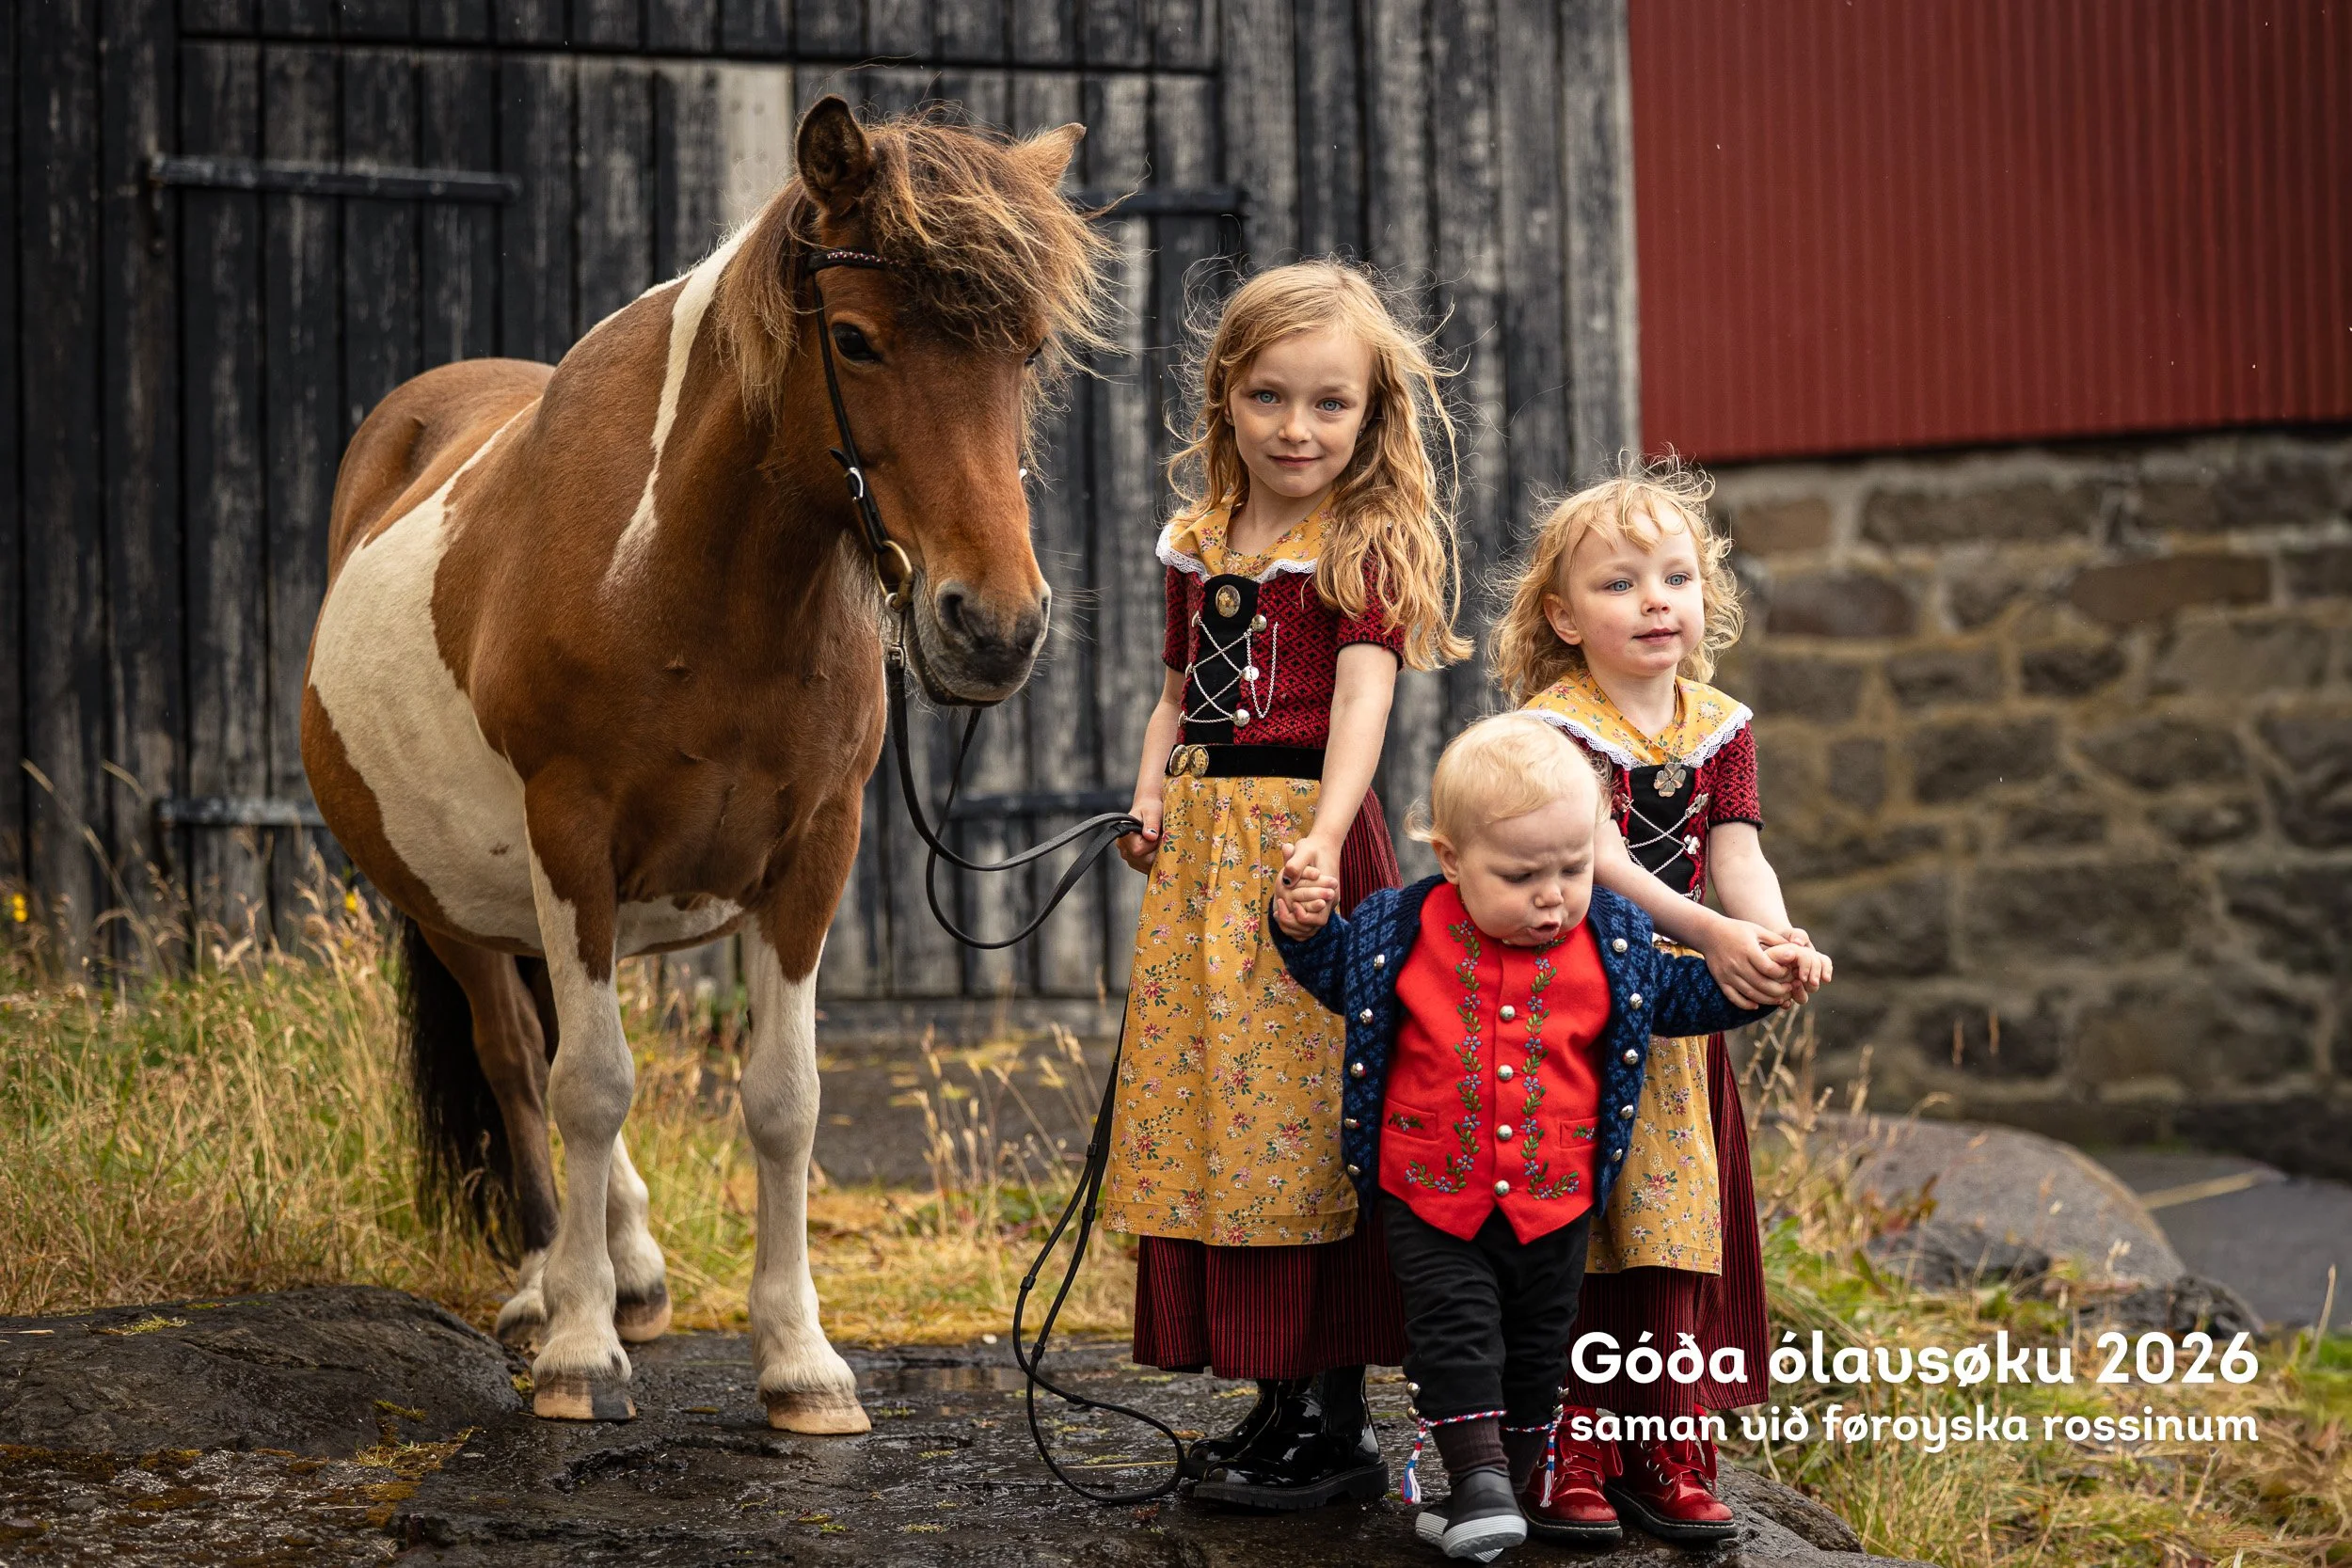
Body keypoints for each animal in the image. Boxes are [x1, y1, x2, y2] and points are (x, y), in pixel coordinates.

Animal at [300, 97, 1109, 1430]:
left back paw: (627, 1265)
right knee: (518, 1057)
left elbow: (785, 1101)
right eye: (856, 340)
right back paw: (552, 1281)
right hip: (456, 900)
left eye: (1029, 352)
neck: (687, 581)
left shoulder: (814, 849)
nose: (992, 625)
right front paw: (578, 1351)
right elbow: (587, 1083)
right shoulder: (570, 834)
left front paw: (800, 1361)